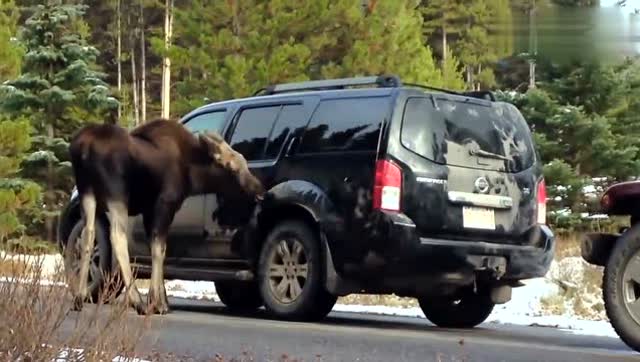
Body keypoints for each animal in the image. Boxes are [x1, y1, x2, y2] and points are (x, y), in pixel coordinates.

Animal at [67, 119, 262, 314]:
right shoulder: (165, 204)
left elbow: (156, 248)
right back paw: (137, 301)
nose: (260, 192)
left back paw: (79, 297)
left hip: (87, 193)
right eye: (232, 168)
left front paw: (161, 301)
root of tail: (83, 148)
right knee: (117, 237)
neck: (192, 173)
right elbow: (160, 249)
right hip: (117, 194)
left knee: (87, 235)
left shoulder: (148, 211)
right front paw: (158, 304)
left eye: (245, 163)